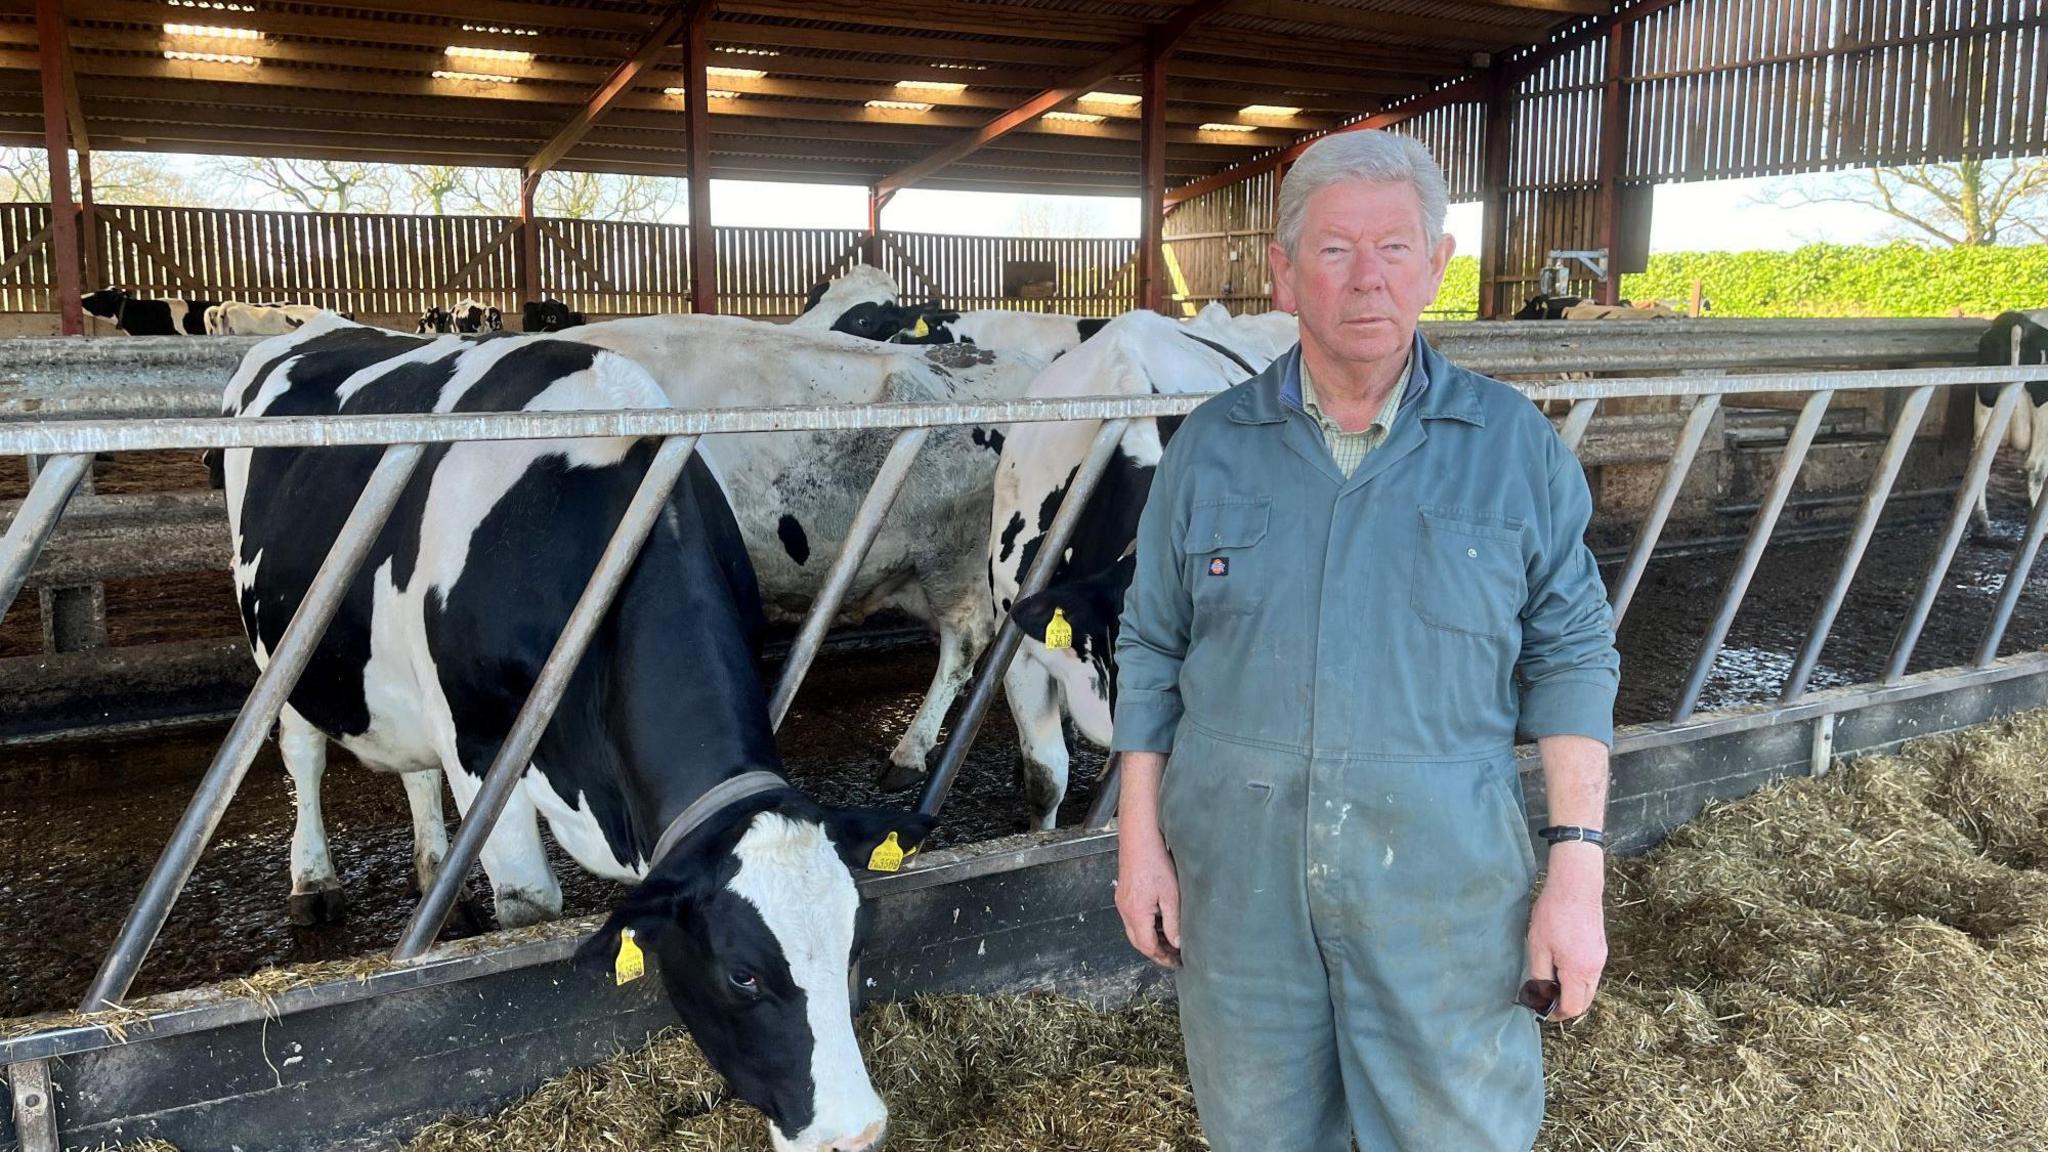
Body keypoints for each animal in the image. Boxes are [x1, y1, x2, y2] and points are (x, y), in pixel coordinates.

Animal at [1966, 307, 2048, 537]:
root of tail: (2018, 320)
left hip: (1986, 401)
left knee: (1980, 462)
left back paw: (1983, 522)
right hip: (2044, 411)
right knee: (2035, 467)